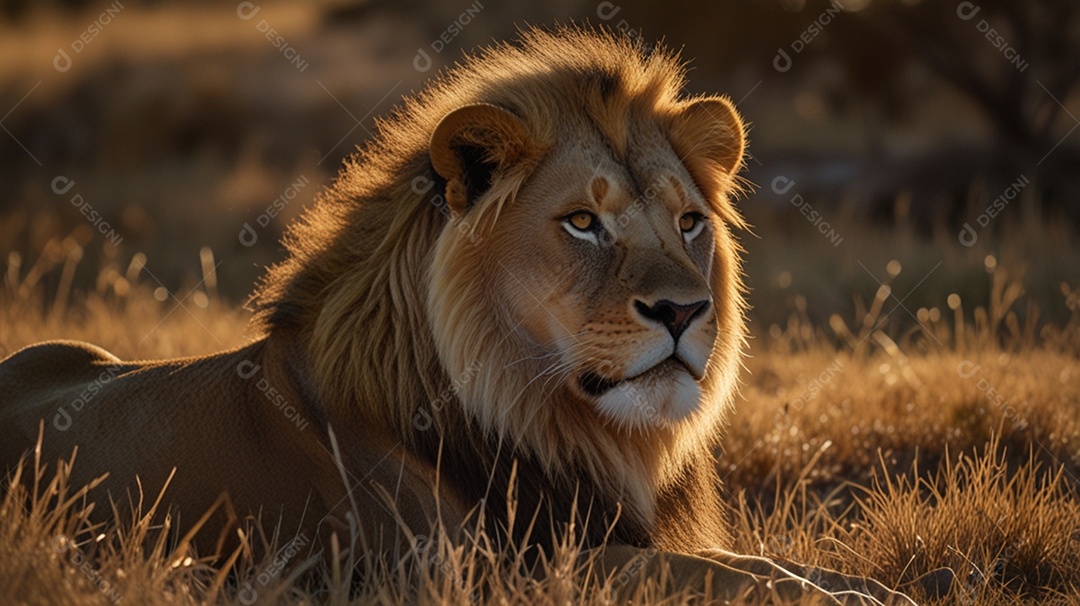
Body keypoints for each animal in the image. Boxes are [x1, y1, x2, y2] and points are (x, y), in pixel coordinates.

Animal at [1, 26, 925, 603]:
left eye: (689, 222)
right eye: (582, 223)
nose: (685, 310)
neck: (557, 425)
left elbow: (744, 560)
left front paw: (883, 584)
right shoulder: (468, 571)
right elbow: (695, 575)